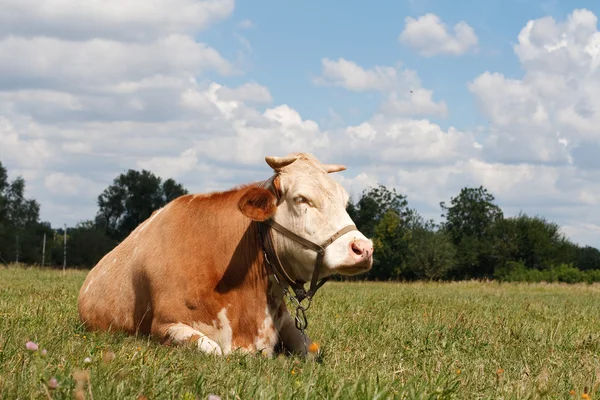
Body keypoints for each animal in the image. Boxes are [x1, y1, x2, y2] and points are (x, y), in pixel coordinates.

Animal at [77, 153, 372, 356]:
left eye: (344, 201)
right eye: (301, 199)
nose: (364, 248)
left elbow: (312, 350)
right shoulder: (164, 325)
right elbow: (215, 351)